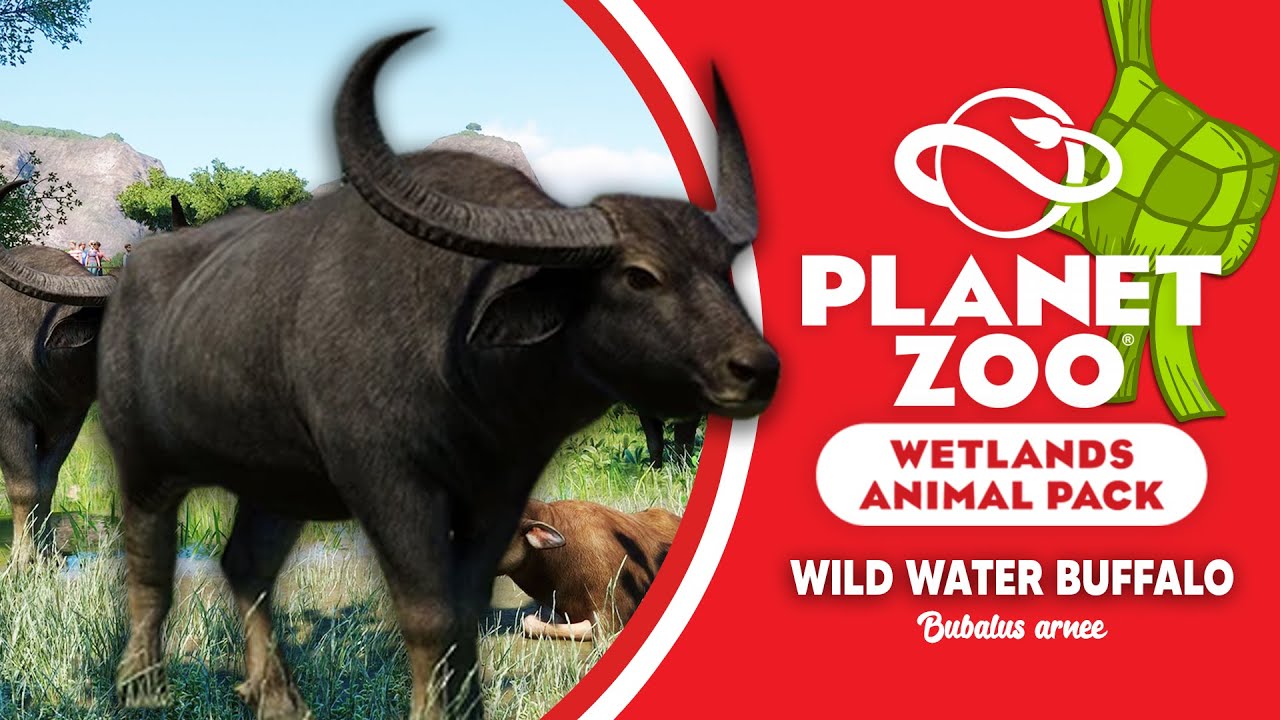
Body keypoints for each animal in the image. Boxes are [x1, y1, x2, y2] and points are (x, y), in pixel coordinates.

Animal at [0, 29, 777, 719]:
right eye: (638, 275)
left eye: (721, 267)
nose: (757, 367)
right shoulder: (389, 483)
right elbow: (429, 615)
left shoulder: (499, 490)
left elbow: (465, 615)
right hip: (147, 464)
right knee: (149, 566)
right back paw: (142, 686)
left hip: (276, 480)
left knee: (246, 565)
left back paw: (277, 699)